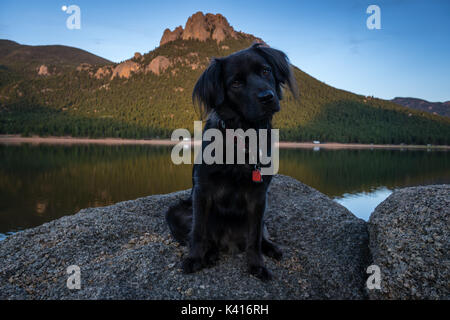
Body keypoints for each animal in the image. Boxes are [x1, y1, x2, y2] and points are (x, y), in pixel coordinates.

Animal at [167, 43, 298, 280]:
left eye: (266, 70)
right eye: (235, 83)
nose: (267, 97)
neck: (243, 136)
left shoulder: (259, 196)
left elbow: (254, 237)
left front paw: (257, 265)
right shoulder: (202, 190)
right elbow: (198, 231)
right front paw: (194, 258)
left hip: (265, 211)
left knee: (260, 234)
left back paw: (271, 248)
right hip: (175, 213)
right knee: (204, 237)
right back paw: (209, 255)